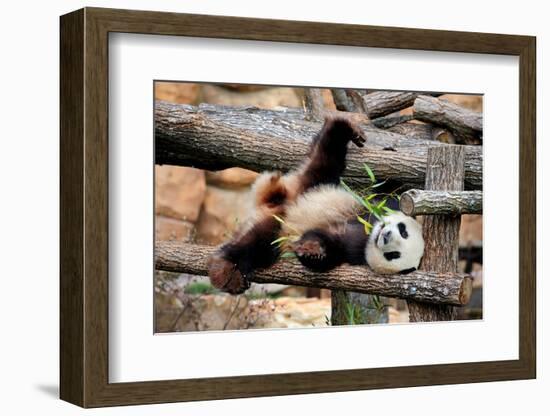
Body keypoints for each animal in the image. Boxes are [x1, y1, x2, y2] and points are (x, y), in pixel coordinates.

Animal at [207, 115, 426, 294]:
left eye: (394, 255)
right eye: (403, 230)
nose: (386, 235)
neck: (368, 232)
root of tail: (277, 203)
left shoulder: (354, 253)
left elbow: (327, 251)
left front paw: (313, 252)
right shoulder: (379, 206)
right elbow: (388, 193)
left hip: (278, 225)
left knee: (257, 244)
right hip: (312, 185)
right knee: (325, 158)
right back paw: (345, 127)